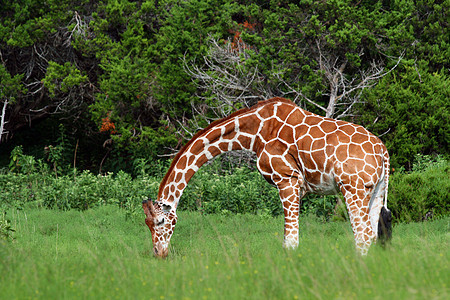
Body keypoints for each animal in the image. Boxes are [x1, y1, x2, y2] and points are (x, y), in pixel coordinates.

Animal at [142, 97, 392, 256]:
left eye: (161, 221)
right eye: (146, 223)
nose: (158, 253)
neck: (254, 133)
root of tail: (383, 151)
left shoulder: (288, 179)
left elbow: (290, 242)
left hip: (352, 188)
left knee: (363, 235)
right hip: (375, 190)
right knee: (373, 235)